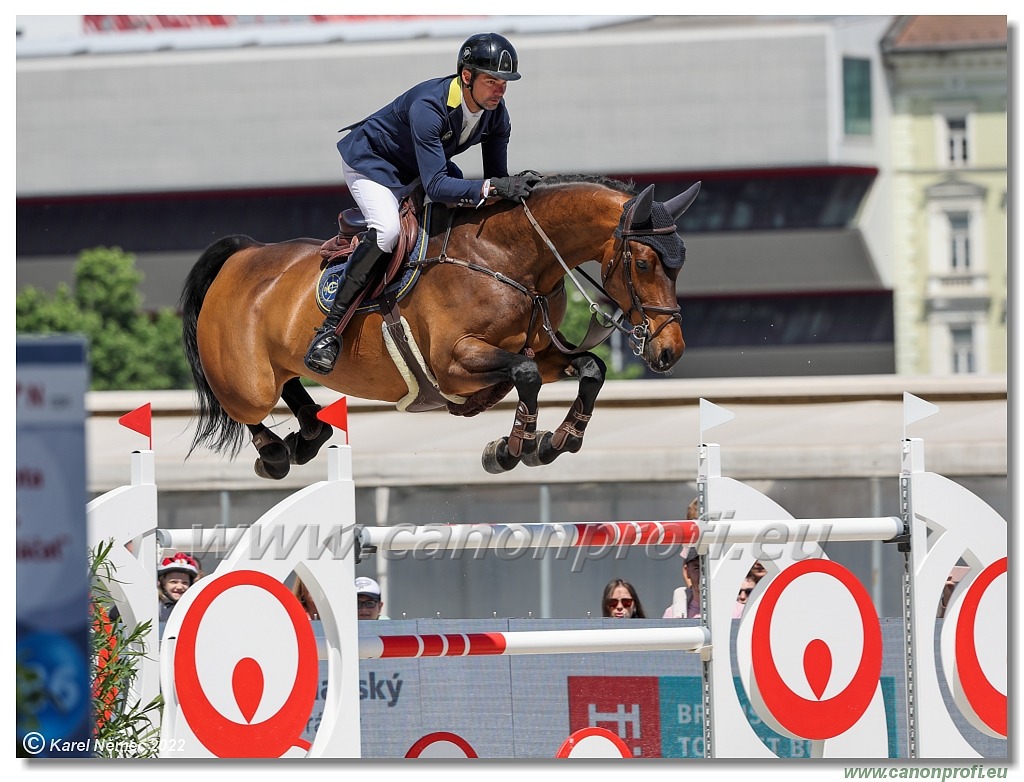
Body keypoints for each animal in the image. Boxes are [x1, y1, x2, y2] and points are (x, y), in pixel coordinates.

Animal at [180, 176, 700, 479]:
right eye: (644, 263)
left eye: (681, 264)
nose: (669, 352)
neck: (509, 258)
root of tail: (243, 254)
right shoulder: (453, 363)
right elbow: (526, 376)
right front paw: (514, 448)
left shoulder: (545, 352)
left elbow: (590, 370)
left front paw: (557, 441)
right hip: (248, 381)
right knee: (250, 408)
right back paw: (275, 453)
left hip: (279, 365)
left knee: (294, 391)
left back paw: (307, 436)